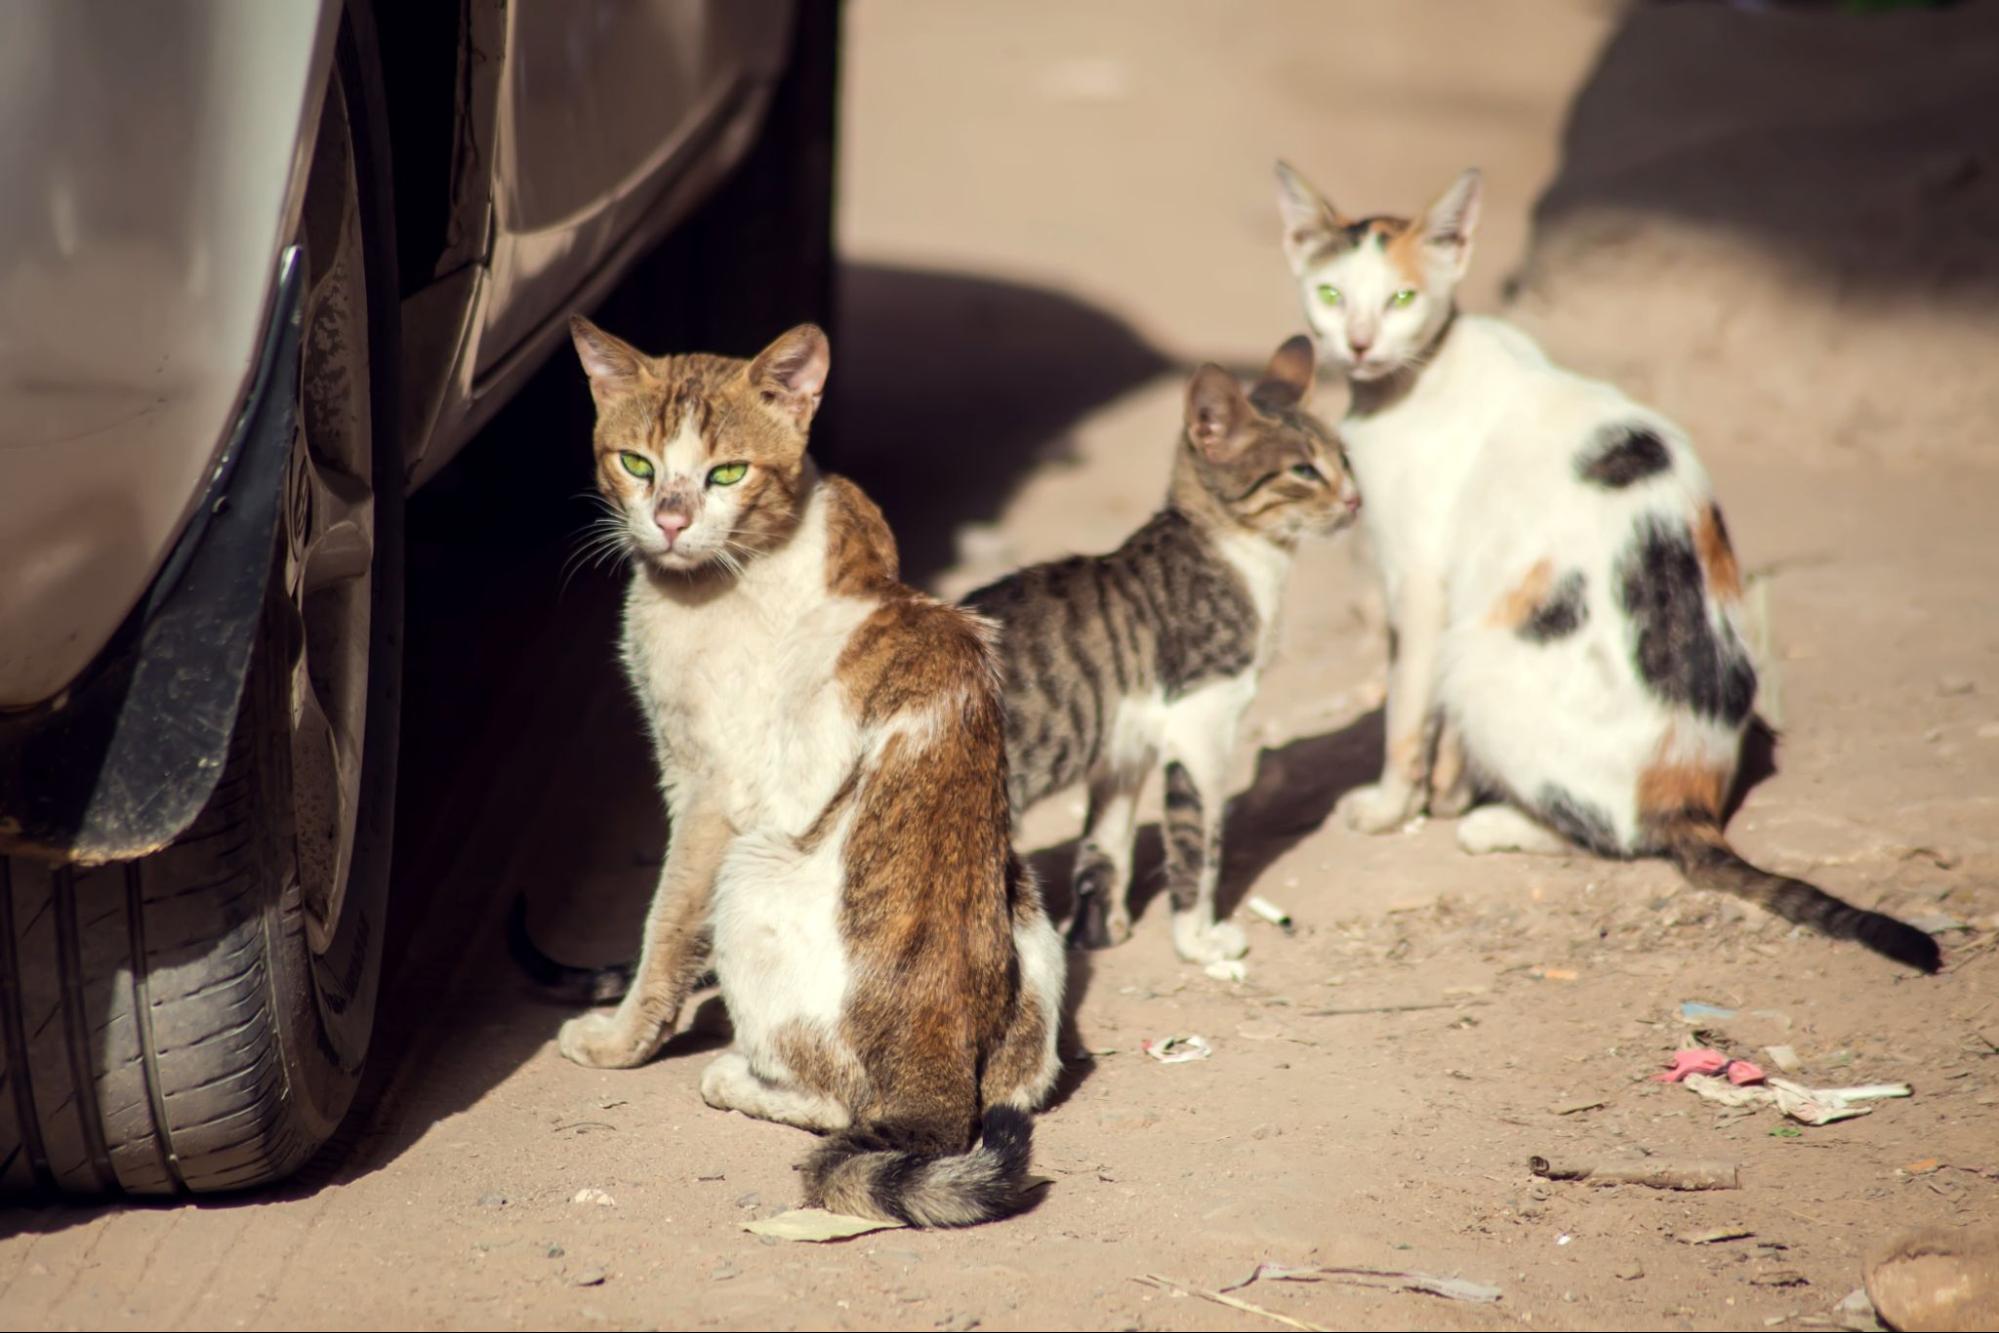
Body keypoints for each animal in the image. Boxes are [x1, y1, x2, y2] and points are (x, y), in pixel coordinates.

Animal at [555, 315, 1071, 1231]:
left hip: (751, 871)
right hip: (1032, 924)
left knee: (842, 1106)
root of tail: (936, 1050)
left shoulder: (709, 793)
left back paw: (731, 1071)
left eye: (726, 471)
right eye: (637, 463)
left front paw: (618, 1040)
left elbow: (662, 930)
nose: (670, 520)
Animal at [1279, 161, 1935, 975]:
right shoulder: (1456, 582)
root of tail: (1689, 795)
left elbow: (1403, 712)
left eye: (1401, 298)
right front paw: (1449, 788)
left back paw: (1495, 824)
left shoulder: (1421, 582)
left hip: (1480, 660)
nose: (1360, 343)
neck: (1408, 381)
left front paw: (1391, 805)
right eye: (1330, 294)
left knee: (1615, 836)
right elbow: (1438, 732)